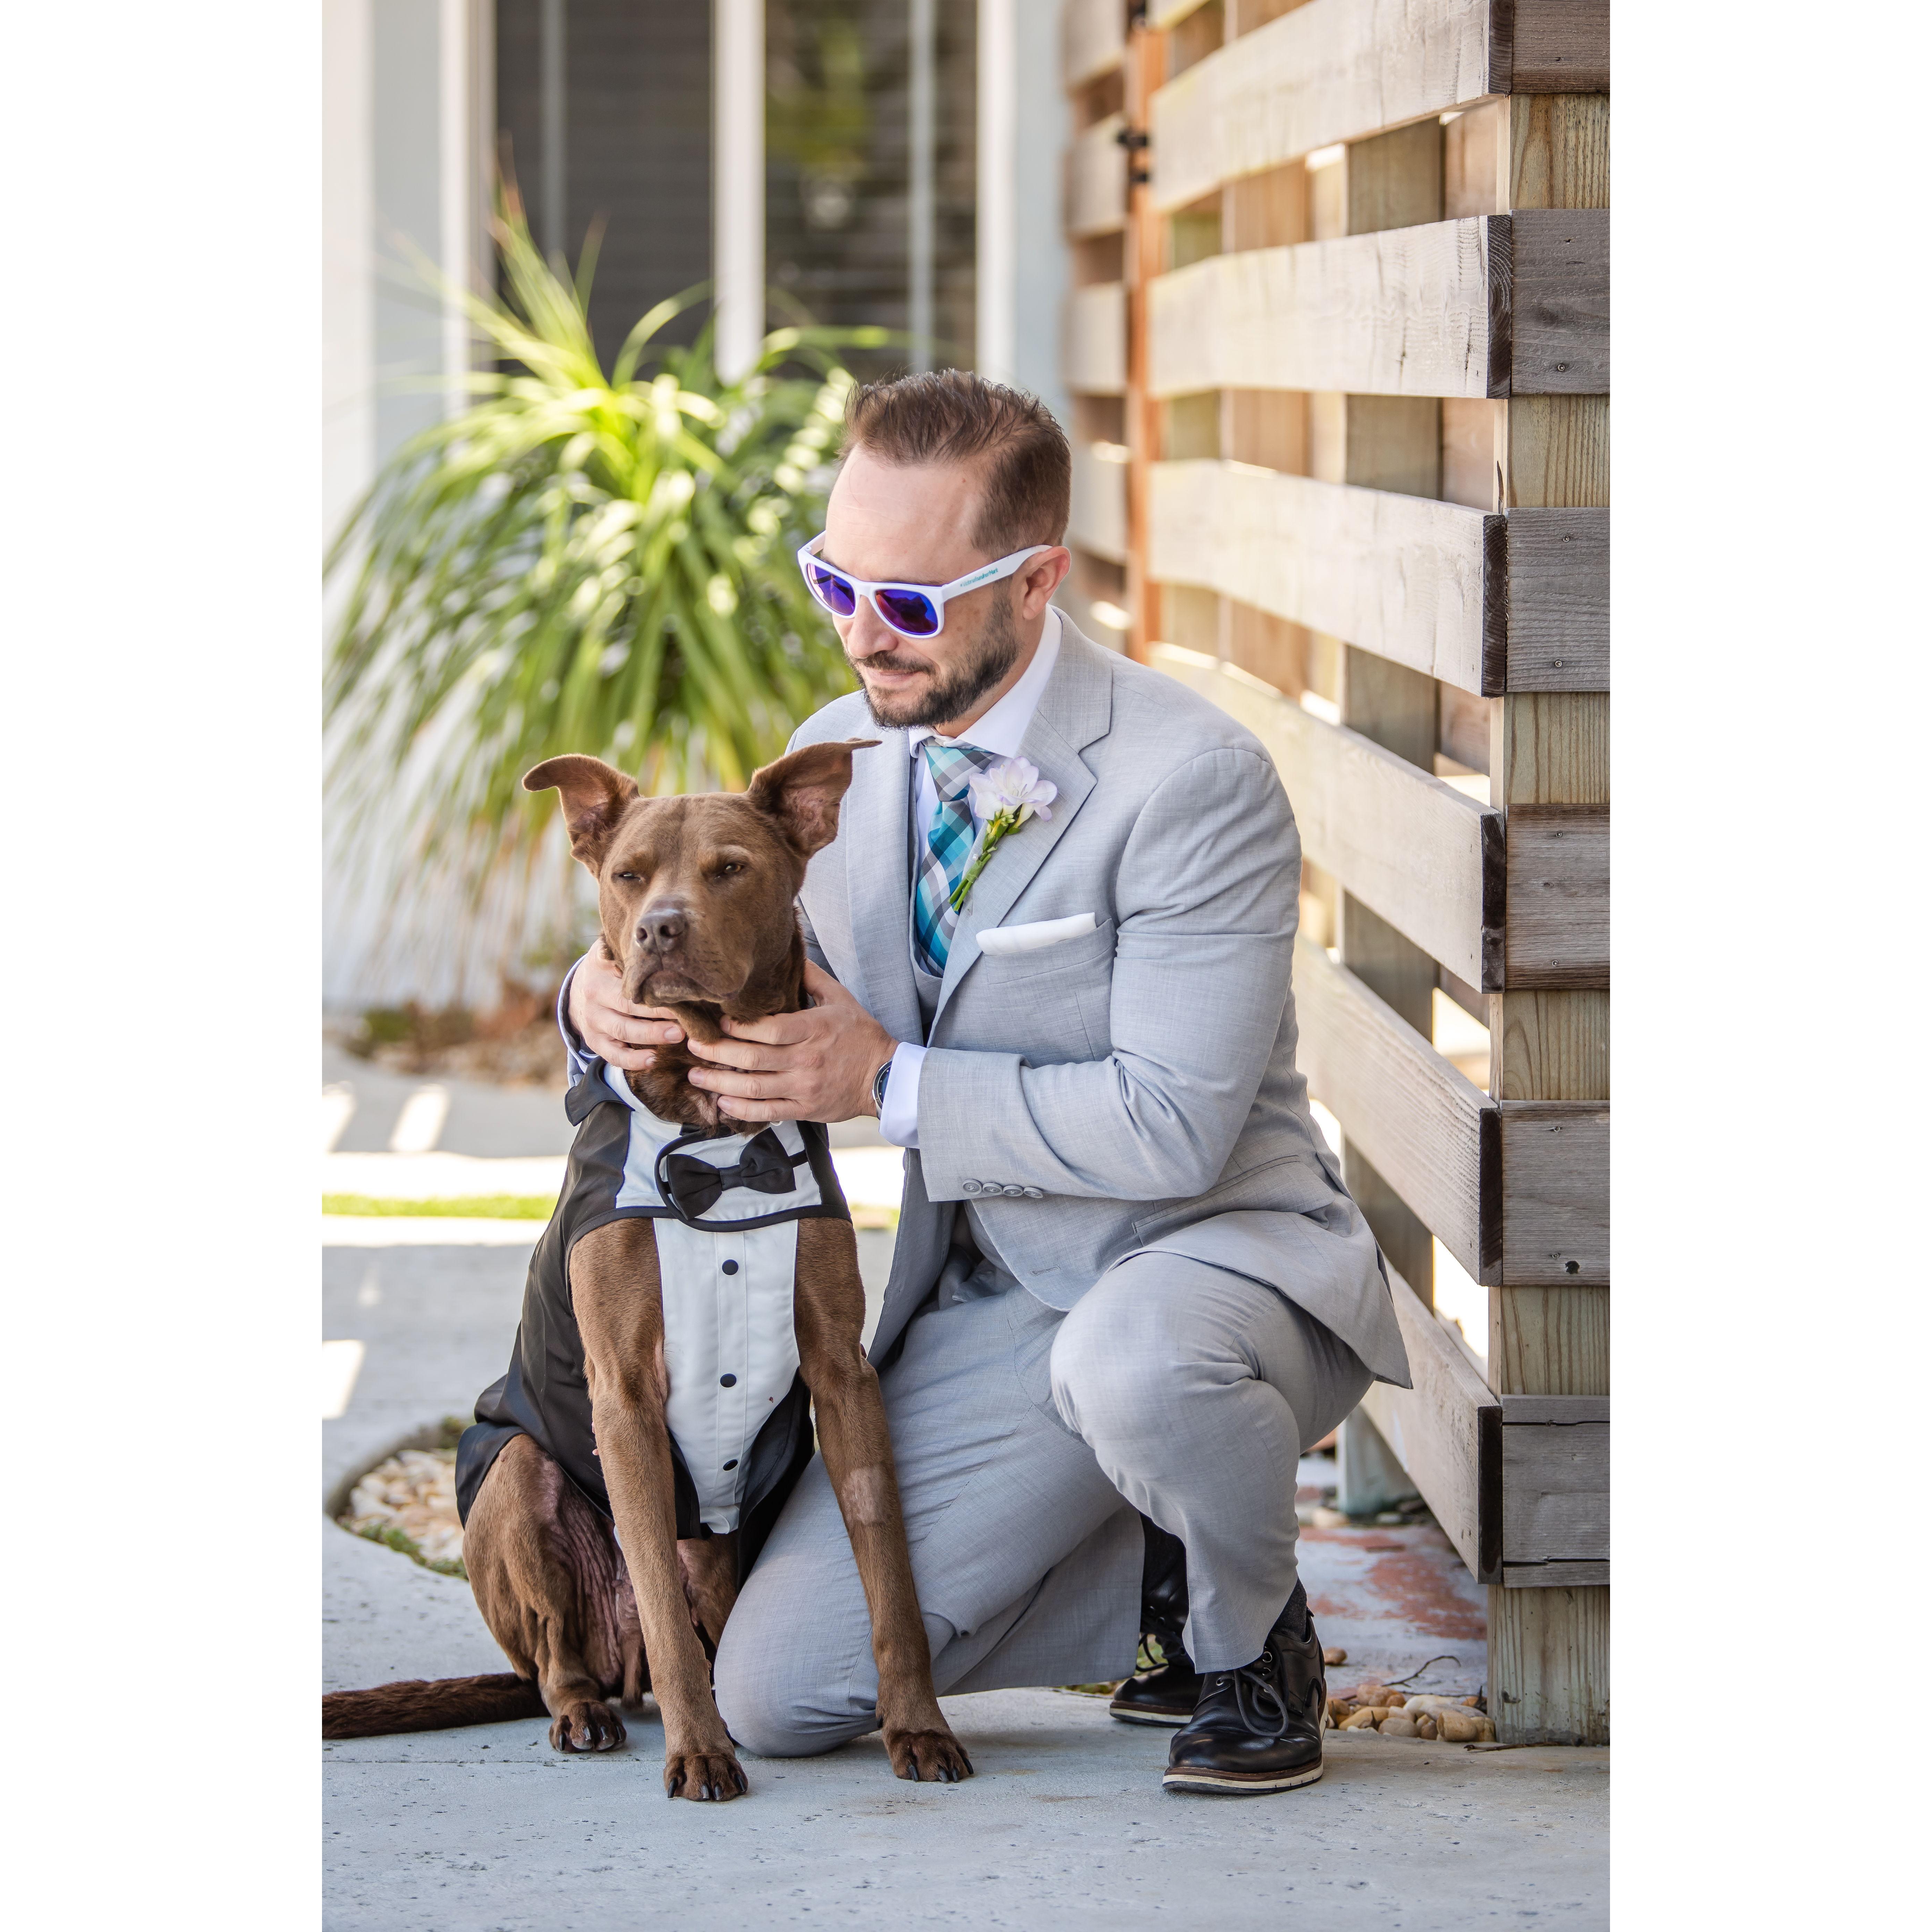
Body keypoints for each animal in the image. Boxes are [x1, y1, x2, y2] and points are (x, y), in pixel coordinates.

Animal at [326, 738, 981, 1793]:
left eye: (731, 868)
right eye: (629, 875)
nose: (659, 929)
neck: (711, 1129)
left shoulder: (843, 1375)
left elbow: (889, 1575)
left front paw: (917, 1724)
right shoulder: (625, 1391)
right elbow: (666, 1614)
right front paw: (698, 1754)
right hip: (516, 1480)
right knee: (570, 1650)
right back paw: (588, 1712)